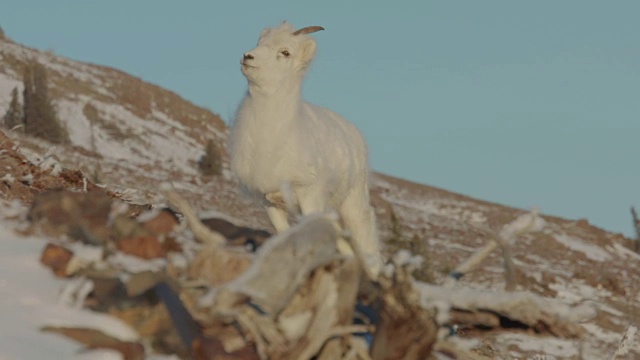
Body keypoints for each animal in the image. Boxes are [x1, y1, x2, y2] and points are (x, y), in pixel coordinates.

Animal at [229, 21, 380, 278]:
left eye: (285, 52)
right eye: (260, 43)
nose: (247, 56)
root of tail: (355, 134)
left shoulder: (309, 197)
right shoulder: (269, 204)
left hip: (352, 206)